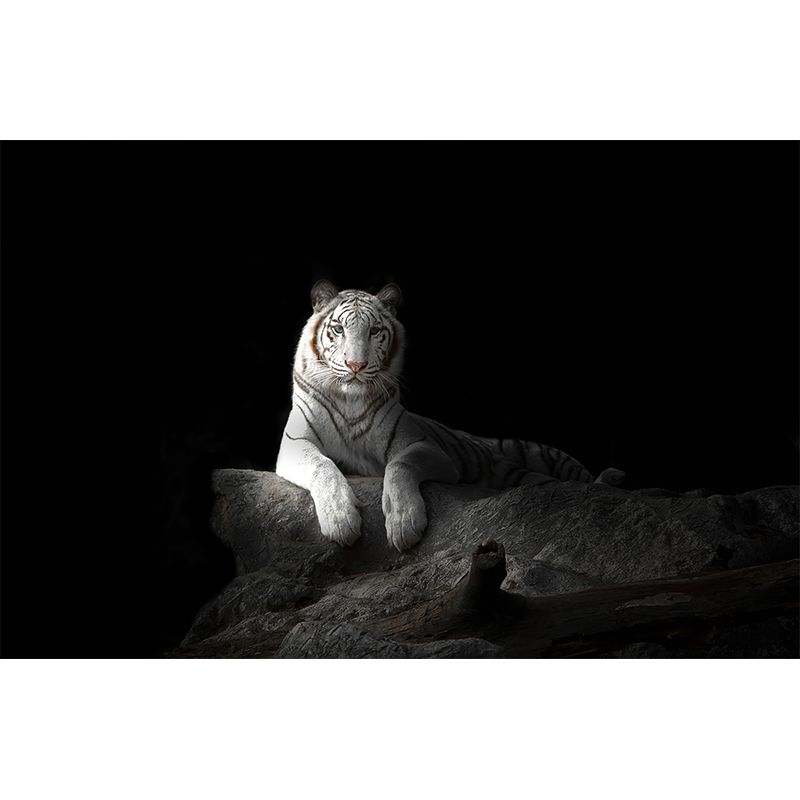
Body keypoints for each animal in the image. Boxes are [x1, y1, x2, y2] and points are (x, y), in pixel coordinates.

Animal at [276, 280, 624, 552]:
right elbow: (323, 466)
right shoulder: (294, 444)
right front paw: (341, 520)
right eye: (338, 329)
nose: (356, 366)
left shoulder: (426, 447)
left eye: (374, 331)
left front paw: (404, 523)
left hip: (546, 458)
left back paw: (610, 480)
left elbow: (399, 465)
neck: (350, 399)